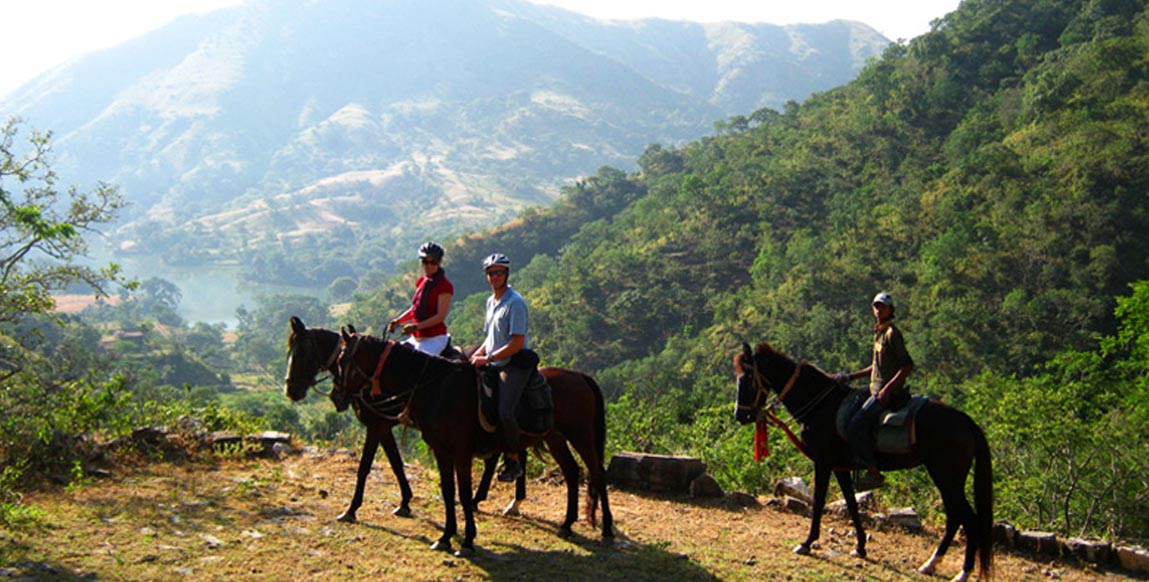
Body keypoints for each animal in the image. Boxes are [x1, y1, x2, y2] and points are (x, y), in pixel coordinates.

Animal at [282, 319, 526, 523]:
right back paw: (483, 499)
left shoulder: (376, 425)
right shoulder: (384, 427)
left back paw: (510, 501)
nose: (291, 390)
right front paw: (405, 502)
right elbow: (396, 463)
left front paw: (352, 509)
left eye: (302, 352)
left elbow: (365, 466)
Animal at [335, 330, 615, 557]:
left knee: (597, 473)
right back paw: (567, 524)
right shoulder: (441, 450)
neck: (435, 388)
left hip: (581, 436)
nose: (338, 396)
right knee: (571, 471)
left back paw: (607, 530)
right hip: (555, 437)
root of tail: (581, 377)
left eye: (342, 361)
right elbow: (447, 491)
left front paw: (467, 540)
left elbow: (460, 491)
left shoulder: (458, 452)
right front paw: (445, 537)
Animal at [735, 342, 997, 582]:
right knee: (955, 517)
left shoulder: (823, 461)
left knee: (968, 519)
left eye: (747, 378)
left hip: (946, 476)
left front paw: (807, 543)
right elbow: (851, 503)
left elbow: (819, 501)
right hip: (946, 478)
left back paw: (963, 573)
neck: (821, 405)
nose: (741, 415)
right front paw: (860, 546)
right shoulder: (840, 466)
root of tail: (967, 422)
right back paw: (931, 564)